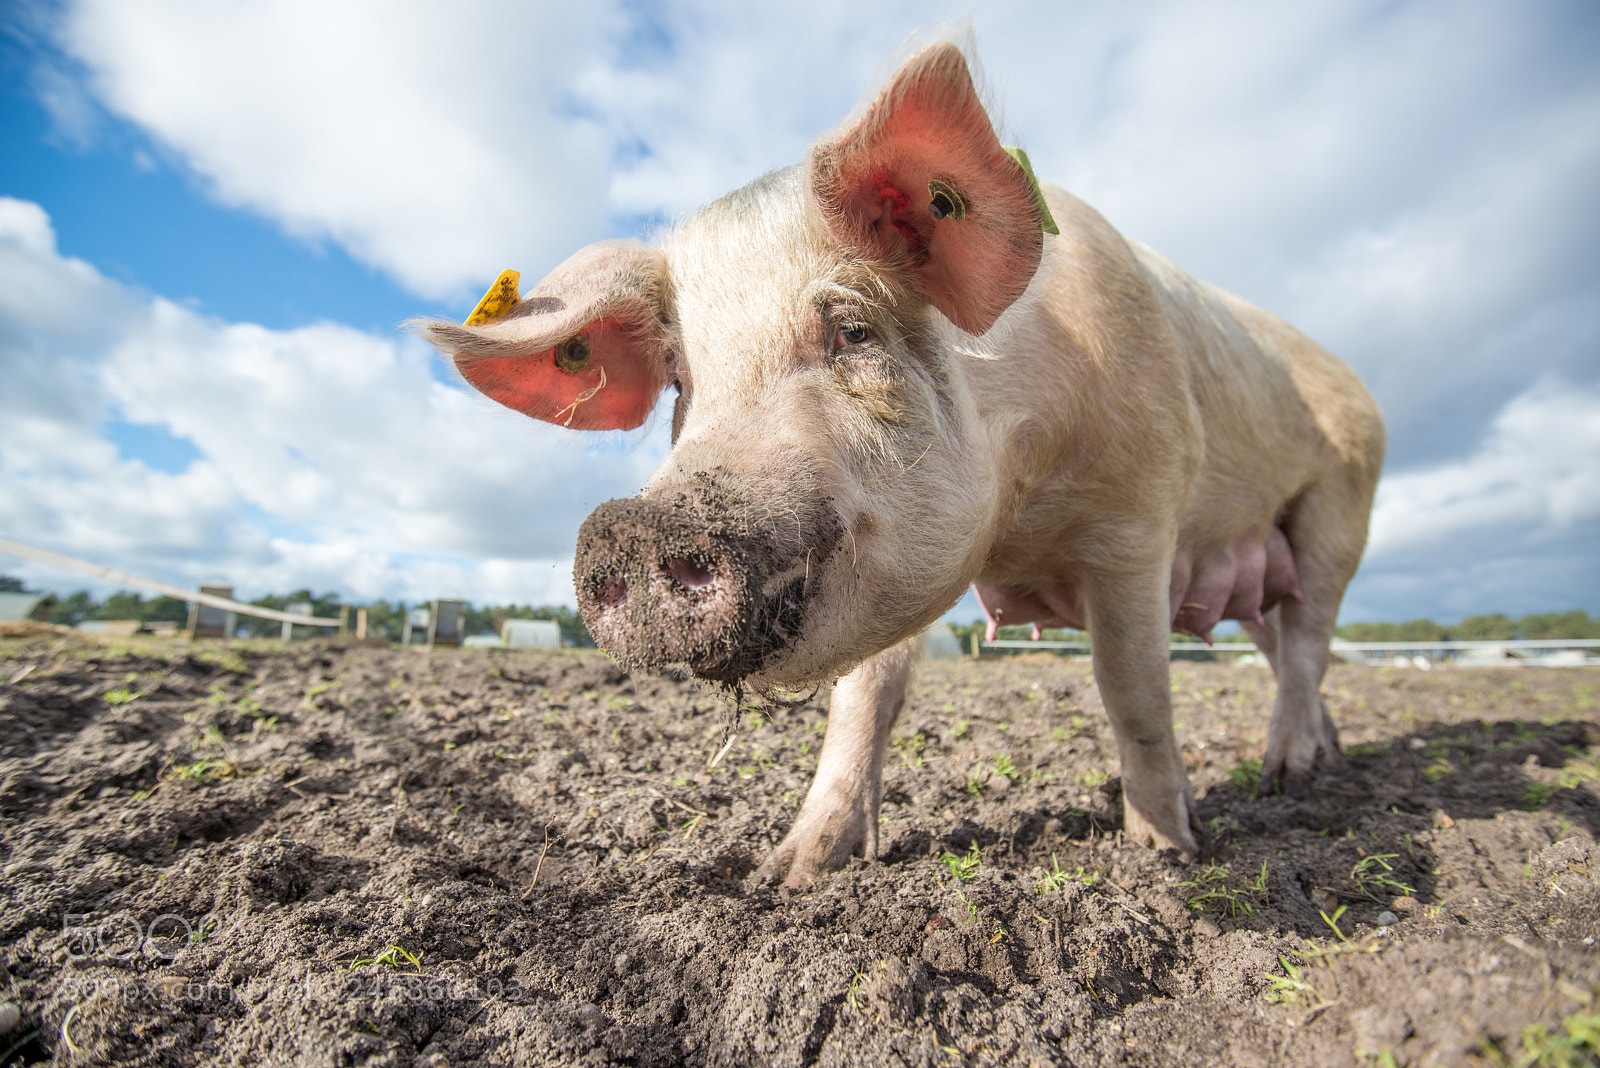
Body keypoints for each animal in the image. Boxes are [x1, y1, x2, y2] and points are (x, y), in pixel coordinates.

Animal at [418, 42, 1385, 888]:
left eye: (853, 330)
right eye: (683, 381)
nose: (631, 525)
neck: (1020, 518)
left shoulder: (1139, 515)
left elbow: (1134, 687)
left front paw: (1168, 856)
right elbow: (864, 701)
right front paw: (787, 875)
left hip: (1341, 509)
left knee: (1307, 639)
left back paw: (1290, 777)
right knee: (1286, 643)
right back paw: (1318, 760)